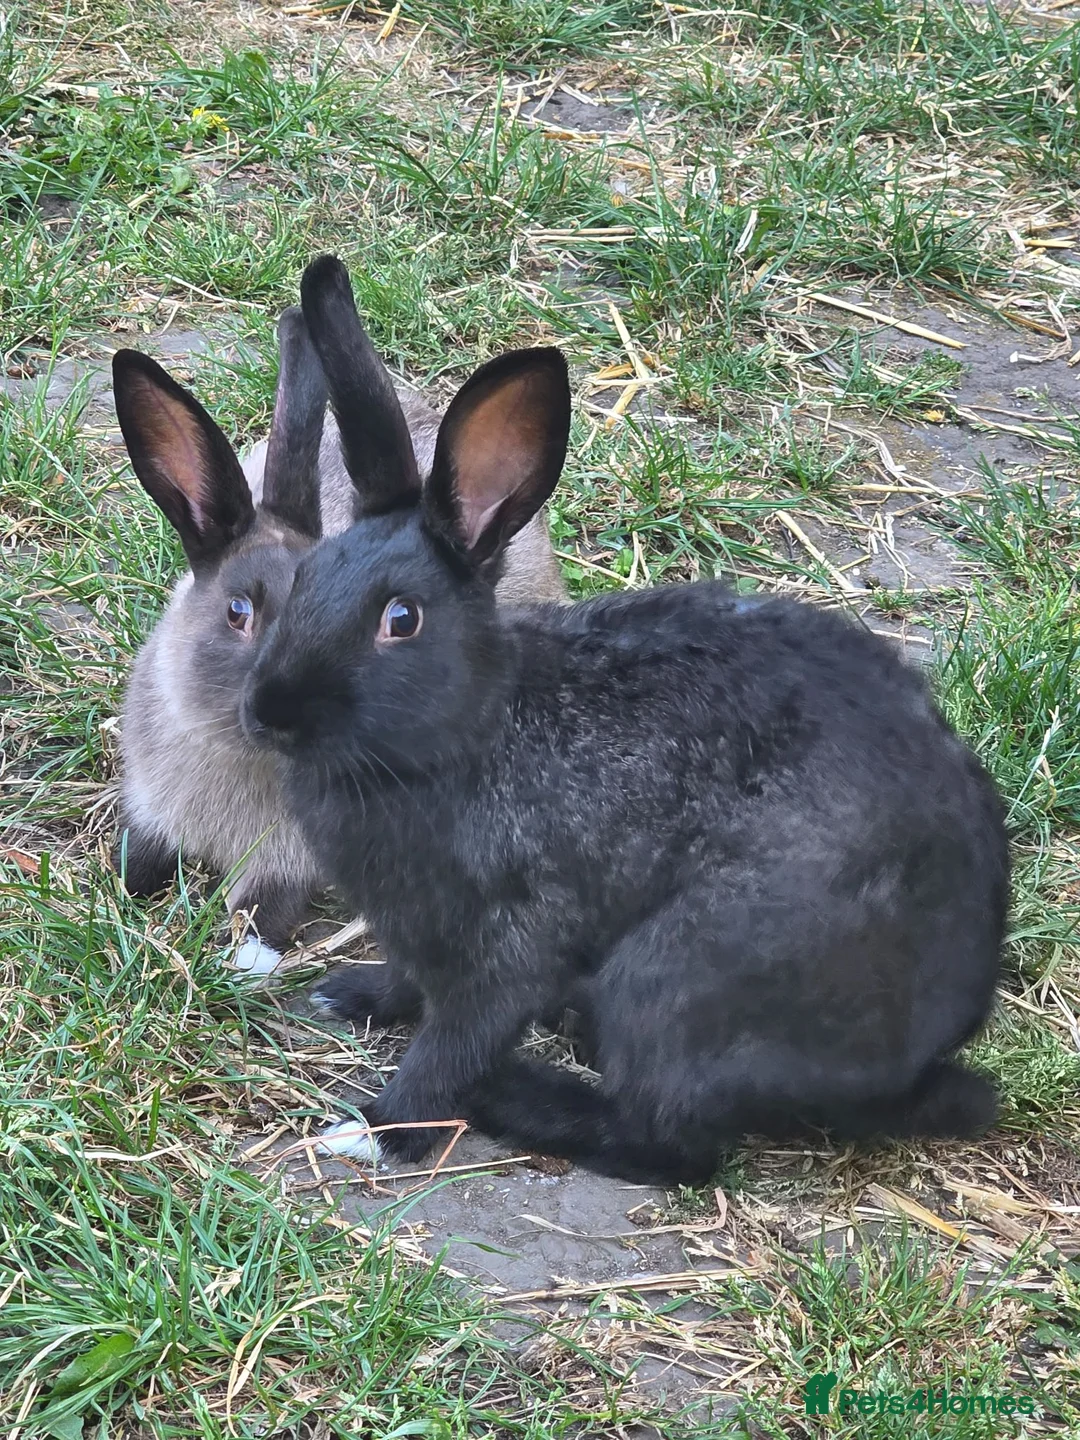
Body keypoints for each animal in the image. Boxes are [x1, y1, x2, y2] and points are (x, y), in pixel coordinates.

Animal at [110, 306, 566, 977]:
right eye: (238, 611)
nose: (275, 711)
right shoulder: (148, 806)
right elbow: (137, 861)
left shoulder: (287, 863)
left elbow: (263, 909)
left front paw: (248, 960)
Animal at [239, 254, 1009, 1184]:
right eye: (304, 579)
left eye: (401, 620)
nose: (268, 710)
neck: (472, 729)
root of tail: (916, 1061)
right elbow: (410, 984)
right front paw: (351, 994)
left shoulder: (509, 942)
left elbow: (456, 1040)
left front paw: (377, 1128)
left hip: (676, 973)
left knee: (669, 1140)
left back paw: (516, 1097)